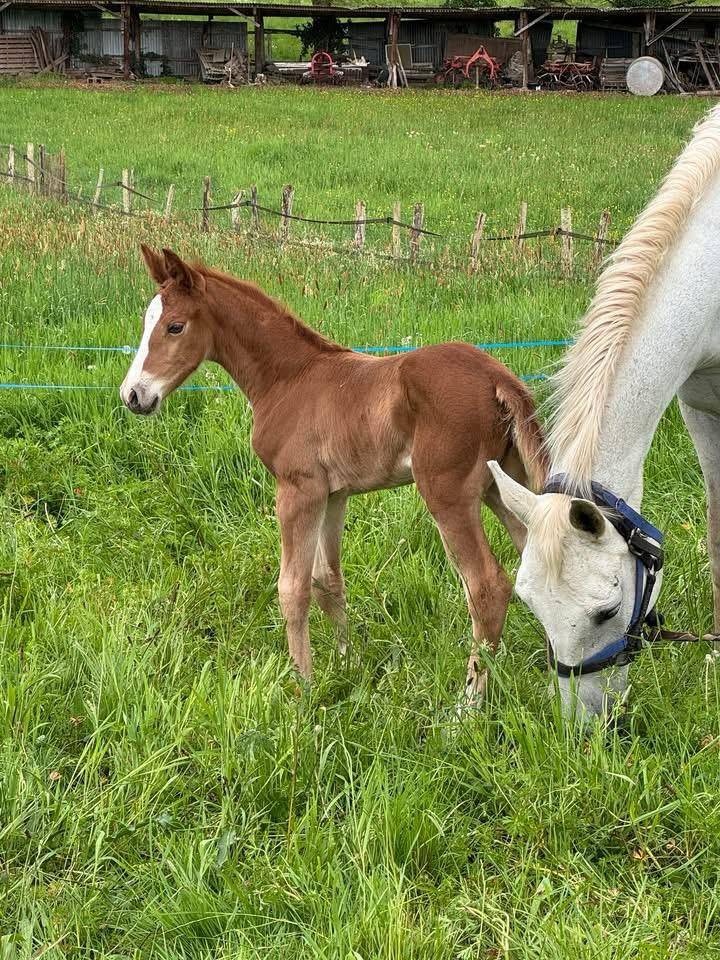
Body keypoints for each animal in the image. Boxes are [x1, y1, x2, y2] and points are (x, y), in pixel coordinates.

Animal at [121, 244, 547, 702]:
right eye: (146, 323)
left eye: (175, 326)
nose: (133, 395)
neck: (289, 379)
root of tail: (497, 377)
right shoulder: (334, 494)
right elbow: (328, 581)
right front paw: (346, 666)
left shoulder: (297, 490)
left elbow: (293, 588)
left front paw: (302, 687)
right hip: (503, 485)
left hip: (447, 492)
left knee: (487, 586)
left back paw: (466, 705)